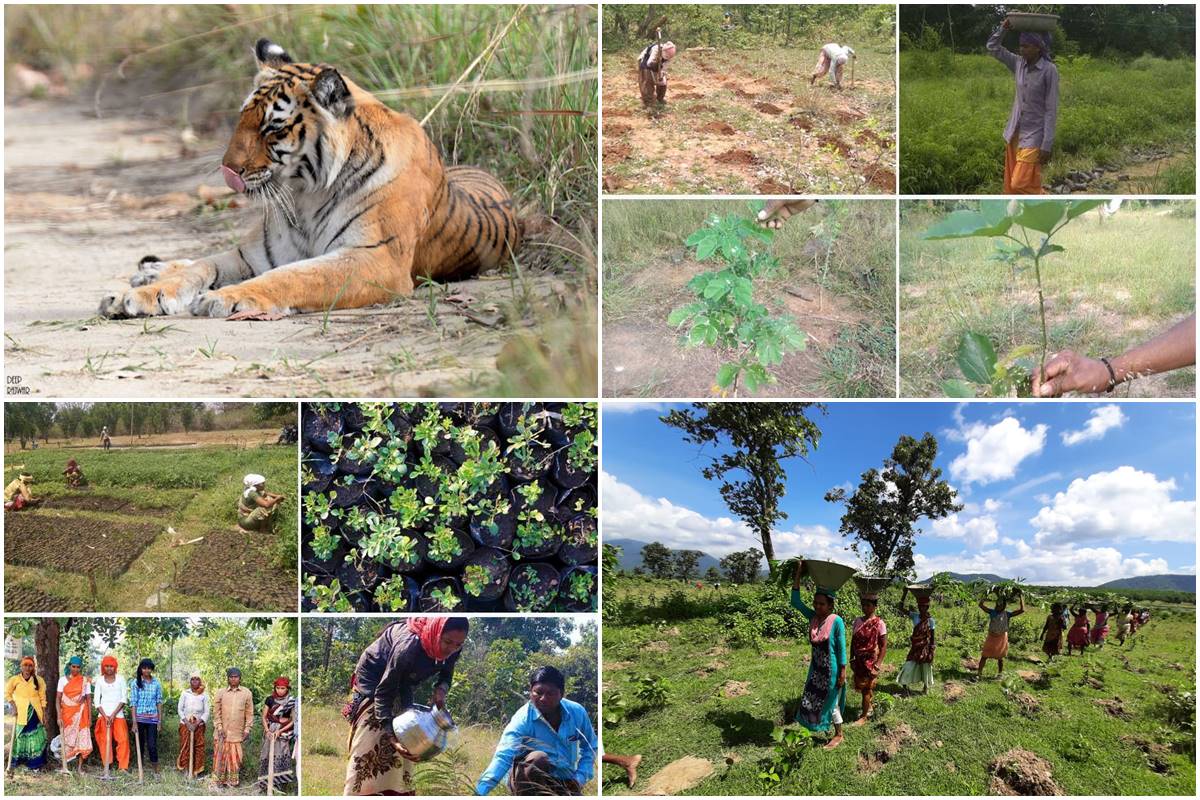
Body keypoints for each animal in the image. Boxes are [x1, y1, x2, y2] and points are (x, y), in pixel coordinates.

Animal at [98, 38, 521, 319]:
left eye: (272, 128)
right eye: (242, 117)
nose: (227, 169)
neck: (306, 194)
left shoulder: (375, 259)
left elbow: (294, 276)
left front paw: (225, 298)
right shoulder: (253, 253)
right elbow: (202, 267)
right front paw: (137, 295)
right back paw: (150, 271)